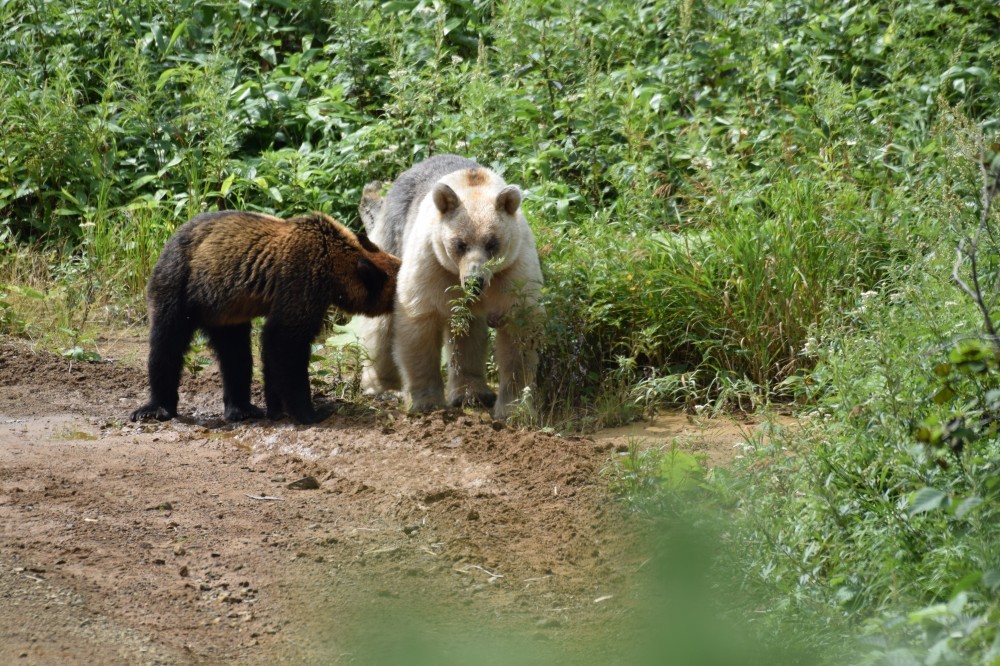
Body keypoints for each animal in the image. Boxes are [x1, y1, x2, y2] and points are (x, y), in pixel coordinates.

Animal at [130, 210, 402, 422]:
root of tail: (171, 239)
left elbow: (273, 349)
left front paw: (276, 406)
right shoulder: (302, 279)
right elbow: (286, 341)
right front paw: (310, 411)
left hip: (225, 310)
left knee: (235, 355)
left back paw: (241, 408)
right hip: (180, 283)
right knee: (167, 343)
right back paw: (155, 408)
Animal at [358, 153, 544, 418]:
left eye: (492, 243)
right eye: (460, 243)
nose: (475, 280)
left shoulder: (513, 270)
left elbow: (518, 335)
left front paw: (513, 408)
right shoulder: (432, 264)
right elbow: (419, 323)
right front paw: (426, 401)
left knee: (468, 335)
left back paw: (473, 393)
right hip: (393, 236)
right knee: (380, 323)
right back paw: (382, 386)